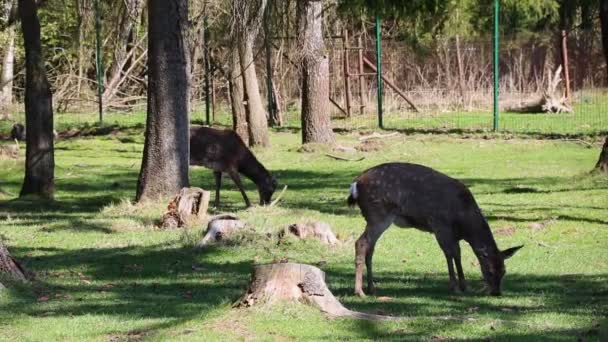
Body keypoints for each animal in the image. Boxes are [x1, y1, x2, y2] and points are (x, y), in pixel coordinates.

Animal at [346, 163, 524, 296]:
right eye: (490, 271)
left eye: (504, 271)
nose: (497, 292)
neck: (464, 223)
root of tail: (355, 185)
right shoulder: (440, 225)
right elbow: (449, 253)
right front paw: (455, 287)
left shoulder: (453, 235)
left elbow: (457, 254)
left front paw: (464, 286)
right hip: (379, 214)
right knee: (361, 242)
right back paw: (359, 291)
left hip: (374, 217)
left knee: (370, 247)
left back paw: (372, 288)